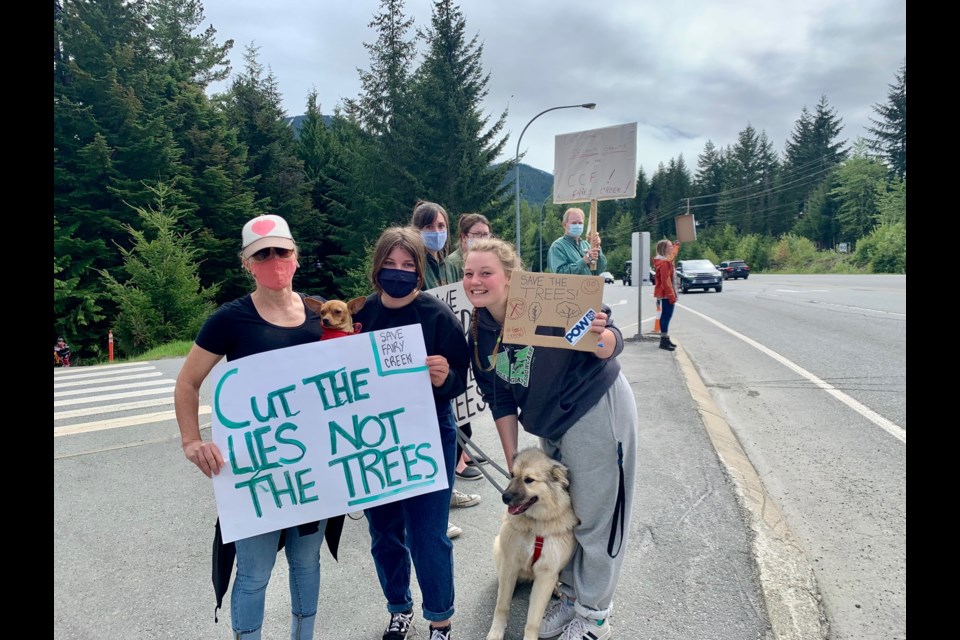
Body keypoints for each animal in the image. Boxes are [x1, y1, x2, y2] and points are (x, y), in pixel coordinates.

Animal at [488, 448, 576, 640]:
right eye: (512, 475)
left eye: (528, 480)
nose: (505, 497)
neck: (536, 525)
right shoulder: (510, 562)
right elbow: (502, 605)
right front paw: (496, 632)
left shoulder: (546, 574)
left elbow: (533, 620)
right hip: (498, 547)